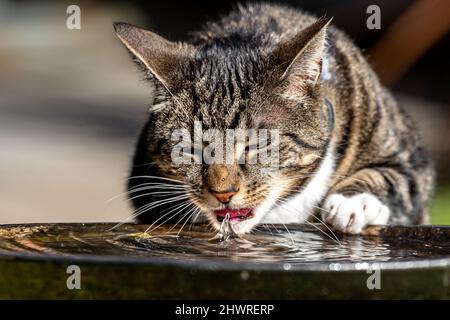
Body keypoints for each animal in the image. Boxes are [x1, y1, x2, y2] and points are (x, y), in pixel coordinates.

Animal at [114, 3, 434, 235]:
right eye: (190, 149)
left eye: (257, 145)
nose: (223, 194)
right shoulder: (141, 176)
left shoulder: (407, 152)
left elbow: (395, 176)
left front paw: (354, 204)